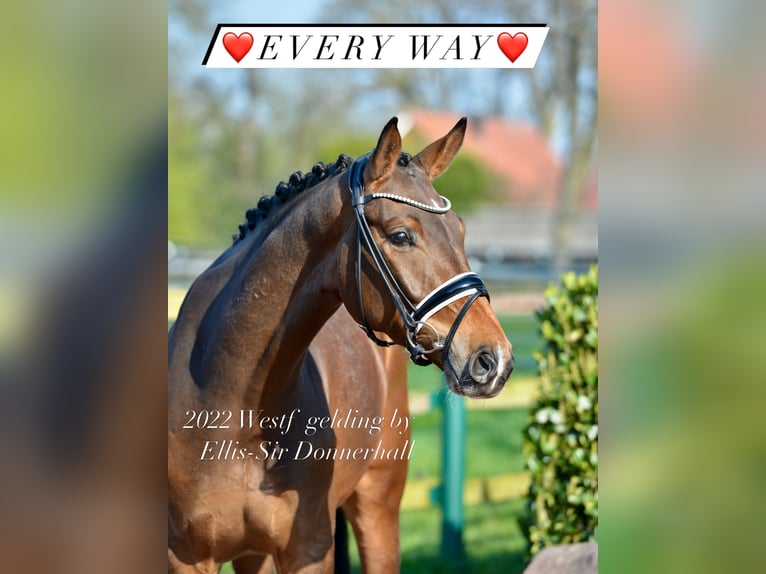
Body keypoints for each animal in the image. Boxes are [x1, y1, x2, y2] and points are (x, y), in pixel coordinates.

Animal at [168, 117, 514, 573]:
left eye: (460, 230)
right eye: (401, 236)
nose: (493, 359)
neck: (230, 404)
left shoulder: (310, 550)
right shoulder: (187, 556)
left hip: (378, 505)